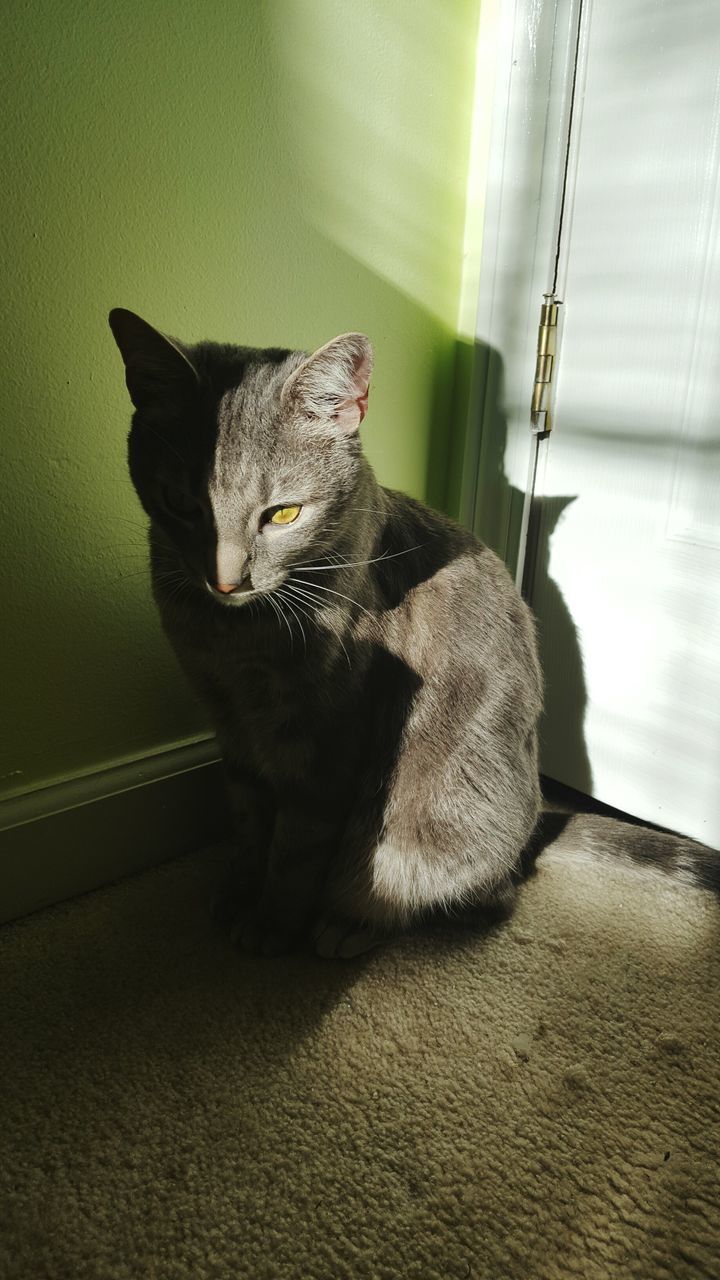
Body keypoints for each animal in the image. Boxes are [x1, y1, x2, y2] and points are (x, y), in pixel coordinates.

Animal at [109, 307, 712, 952]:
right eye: (180, 502)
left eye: (284, 513)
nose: (226, 579)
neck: (232, 639)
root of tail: (534, 826)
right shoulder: (231, 727)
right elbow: (248, 826)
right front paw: (234, 895)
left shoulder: (328, 744)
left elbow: (296, 850)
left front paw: (271, 928)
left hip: (445, 821)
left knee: (481, 898)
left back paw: (350, 925)